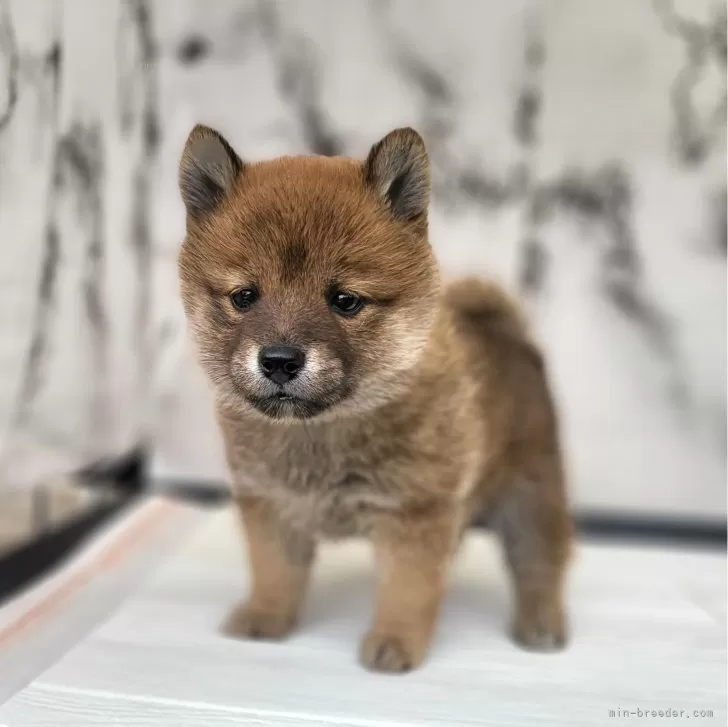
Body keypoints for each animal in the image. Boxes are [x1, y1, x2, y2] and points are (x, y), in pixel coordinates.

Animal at [178, 126, 576, 676]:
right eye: (244, 296)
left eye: (345, 300)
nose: (279, 360)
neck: (322, 432)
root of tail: (508, 333)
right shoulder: (271, 509)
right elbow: (274, 573)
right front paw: (265, 618)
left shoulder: (412, 516)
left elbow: (406, 590)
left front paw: (395, 642)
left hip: (529, 494)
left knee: (540, 562)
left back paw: (541, 622)